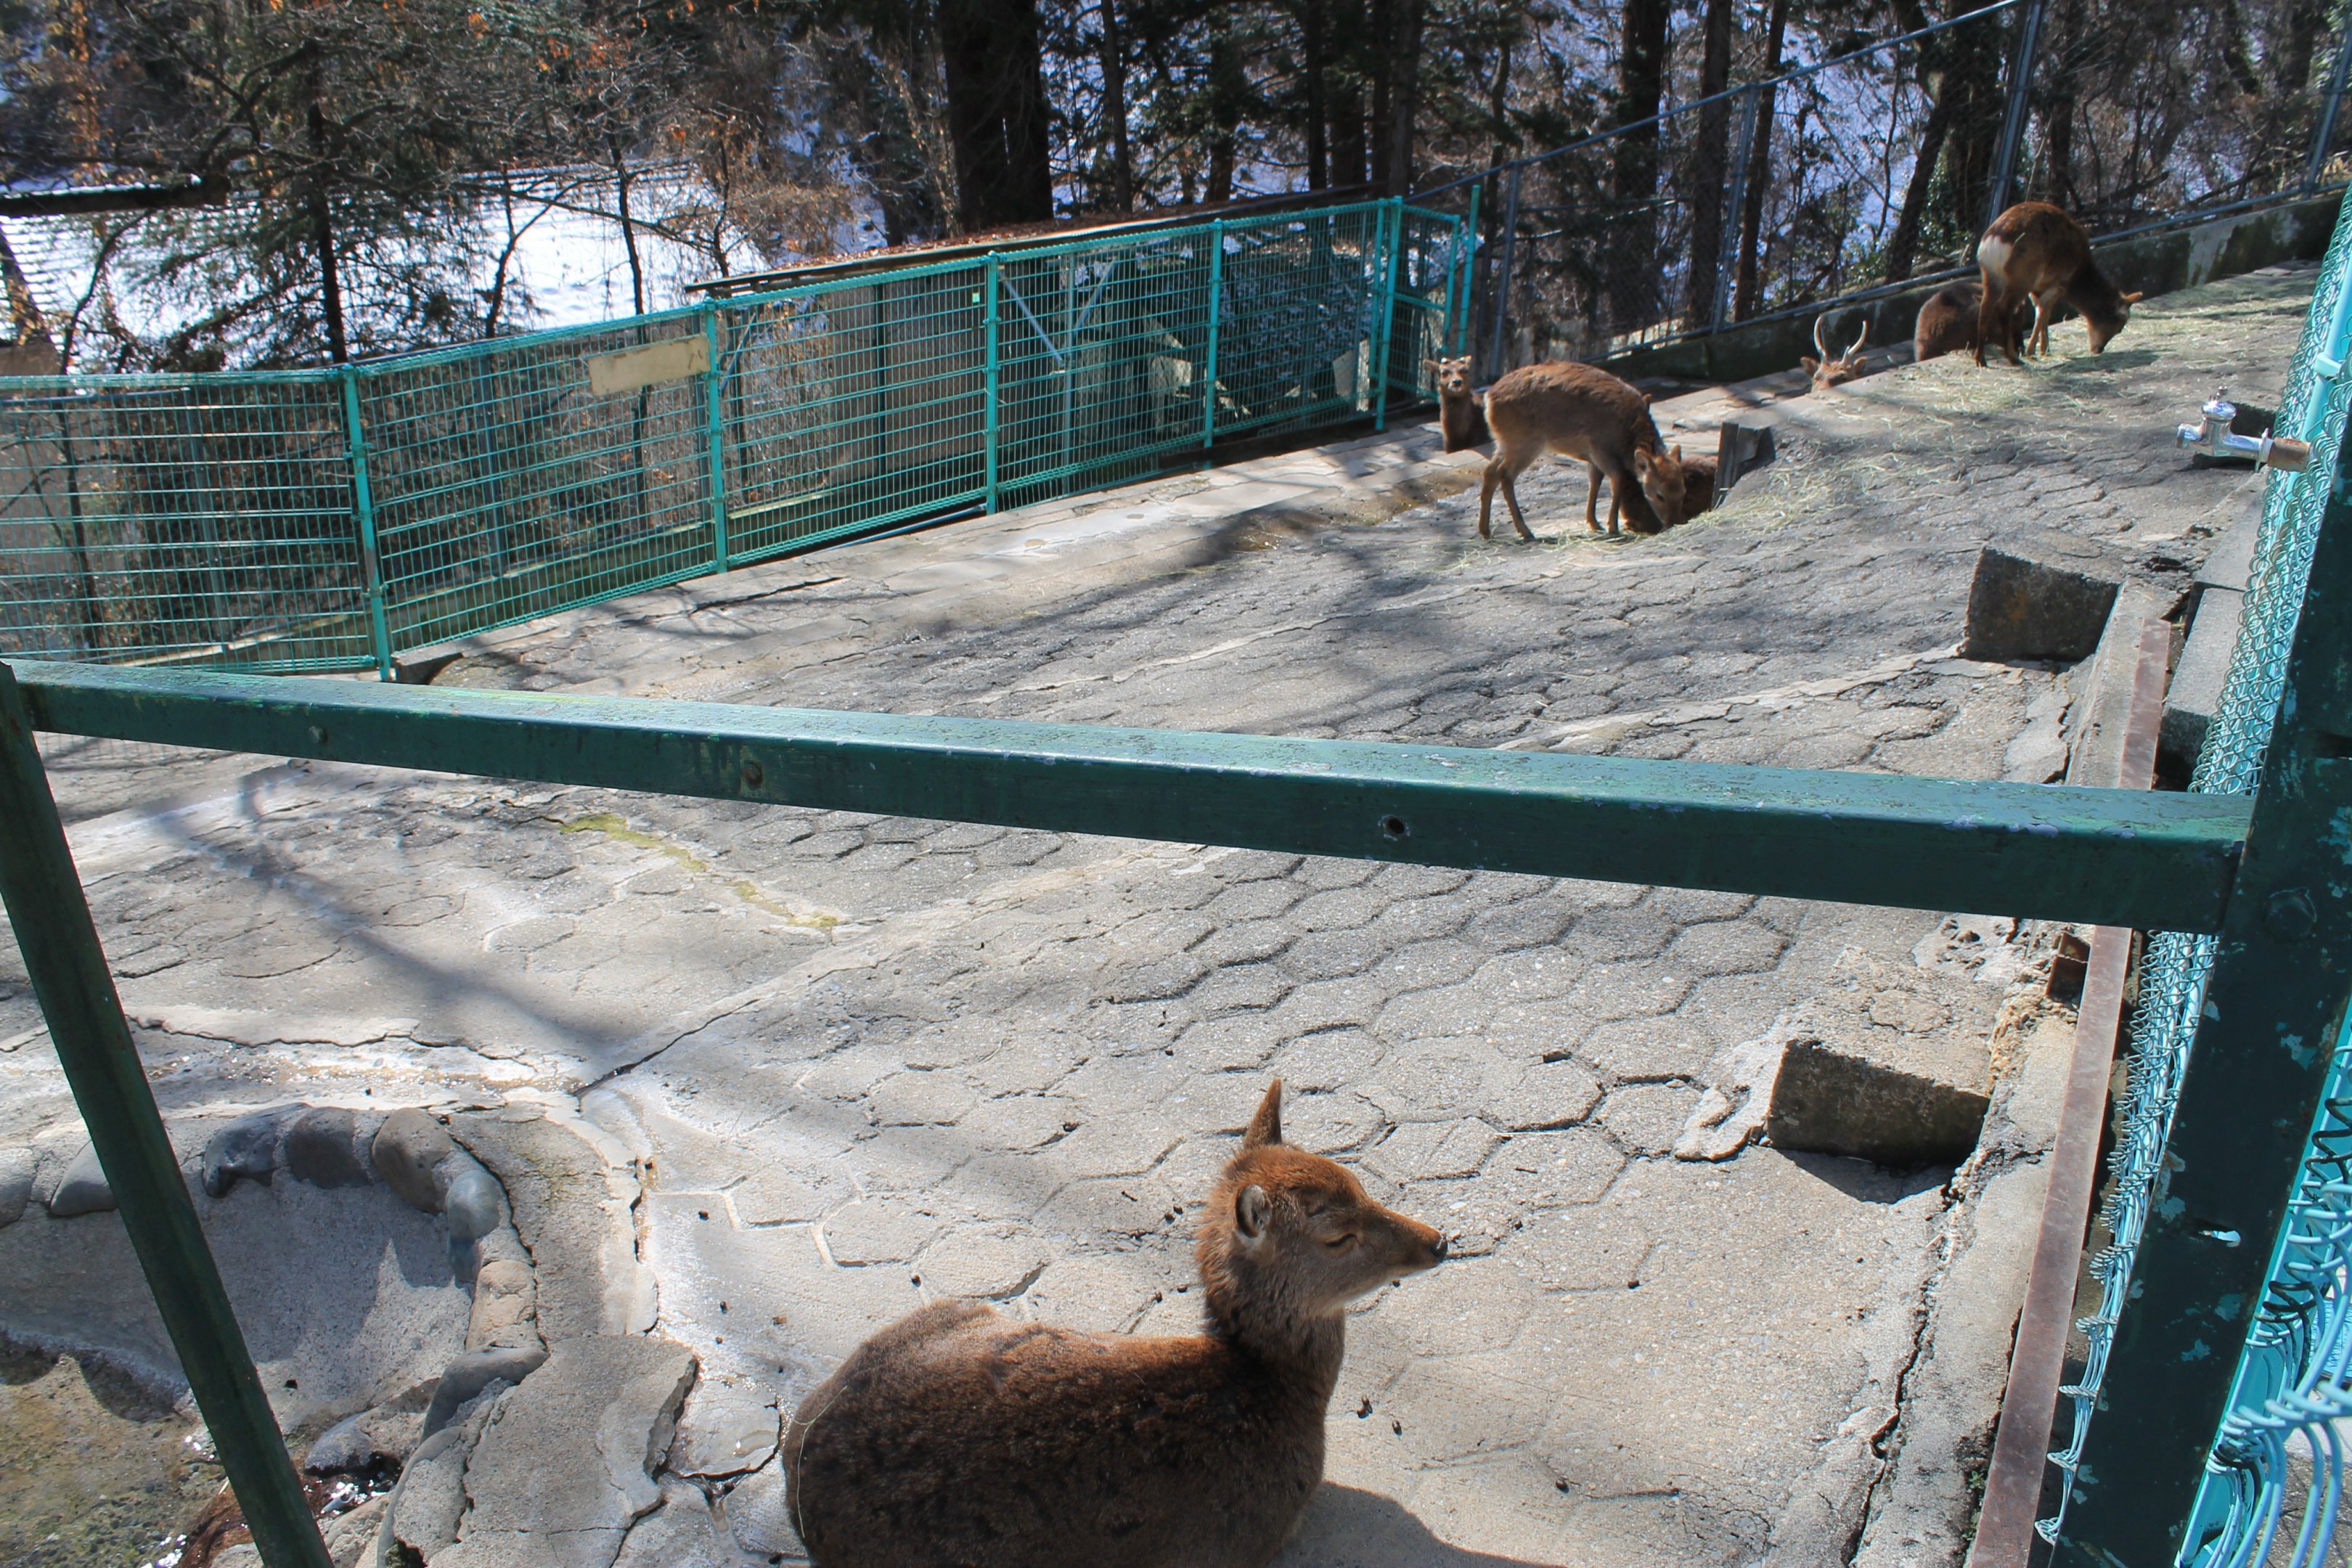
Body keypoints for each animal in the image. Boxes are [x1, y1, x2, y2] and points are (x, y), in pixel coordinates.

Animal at [782, 1081, 1449, 1568]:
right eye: (1338, 1235)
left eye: (1359, 1183)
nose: (1438, 1241)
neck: (1272, 1394)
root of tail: (794, 1476)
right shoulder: (1236, 1541)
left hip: (952, 1310)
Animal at [1477, 360, 1665, 541]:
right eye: (1659, 495)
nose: (1658, 526)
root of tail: (1489, 400)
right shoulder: (1600, 450)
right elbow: (1617, 477)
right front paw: (1612, 527)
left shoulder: (1594, 459)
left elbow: (1596, 480)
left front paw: (1595, 523)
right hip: (1525, 443)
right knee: (1505, 474)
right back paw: (1525, 531)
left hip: (1504, 443)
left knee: (1490, 471)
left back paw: (1486, 530)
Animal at [1975, 202, 2141, 366]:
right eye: (2119, 326)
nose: (2099, 349)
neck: (2078, 277)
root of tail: (1995, 240)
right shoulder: (2059, 283)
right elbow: (2044, 313)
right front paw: (2032, 351)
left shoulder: (2039, 287)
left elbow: (2042, 313)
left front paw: (2045, 349)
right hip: (2022, 277)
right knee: (2004, 307)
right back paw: (2013, 358)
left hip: (1990, 274)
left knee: (1985, 307)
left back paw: (1981, 359)